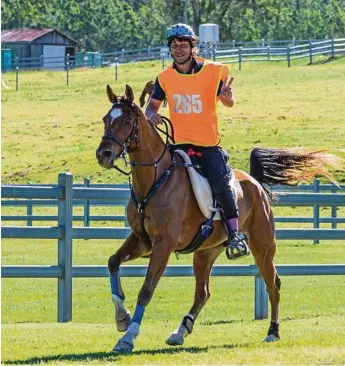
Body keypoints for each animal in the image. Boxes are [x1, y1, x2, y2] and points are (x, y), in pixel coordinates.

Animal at [95, 84, 340, 354]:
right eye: (106, 119)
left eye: (127, 121)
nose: (103, 154)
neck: (155, 180)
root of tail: (254, 182)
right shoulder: (142, 240)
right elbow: (113, 262)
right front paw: (122, 317)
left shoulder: (163, 244)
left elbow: (146, 289)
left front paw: (128, 336)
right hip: (206, 252)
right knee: (203, 293)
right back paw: (180, 331)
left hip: (263, 248)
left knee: (273, 284)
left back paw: (273, 332)